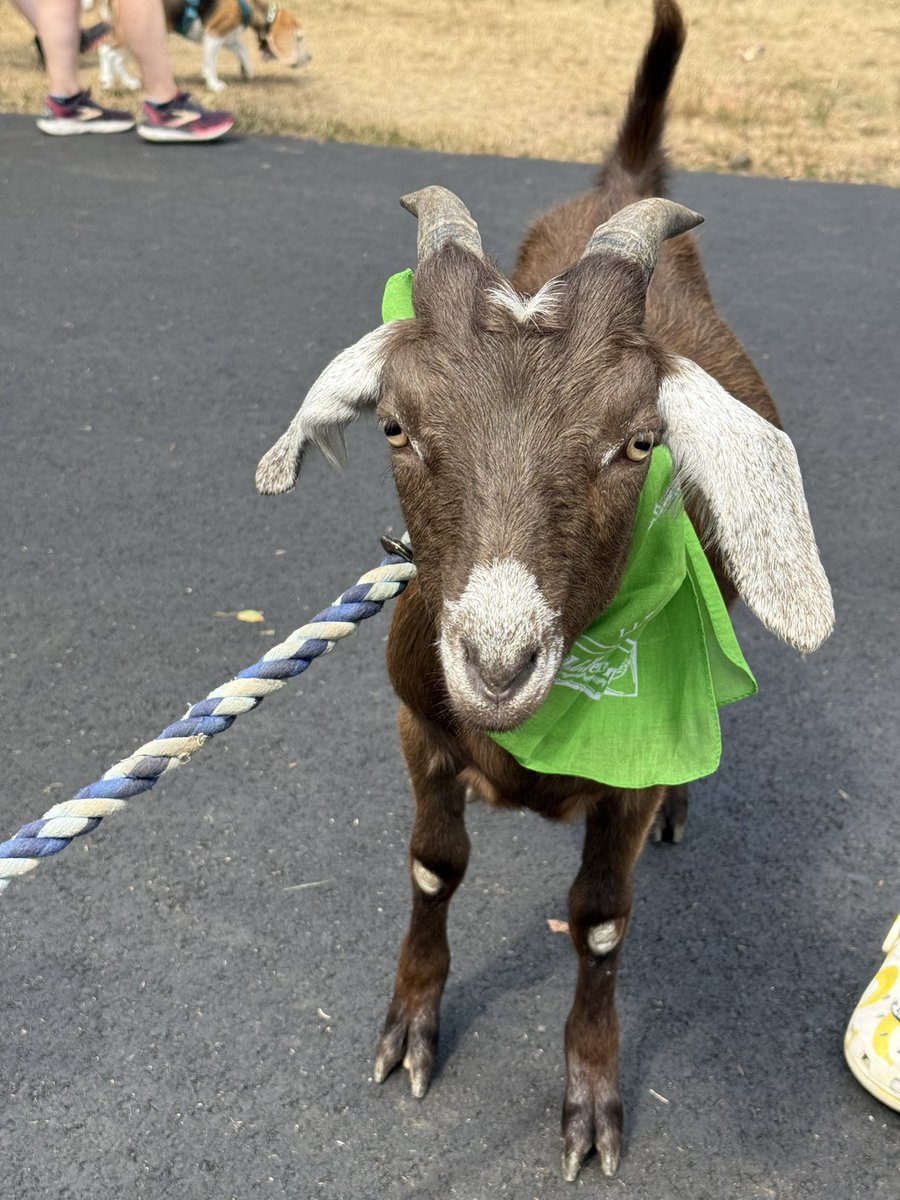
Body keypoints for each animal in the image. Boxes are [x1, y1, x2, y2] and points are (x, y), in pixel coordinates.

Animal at [254, 0, 833, 1182]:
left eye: (640, 442)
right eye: (396, 424)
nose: (497, 659)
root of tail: (619, 181)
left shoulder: (621, 794)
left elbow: (602, 921)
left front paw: (591, 1102)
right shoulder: (418, 727)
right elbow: (435, 866)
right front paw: (409, 1030)